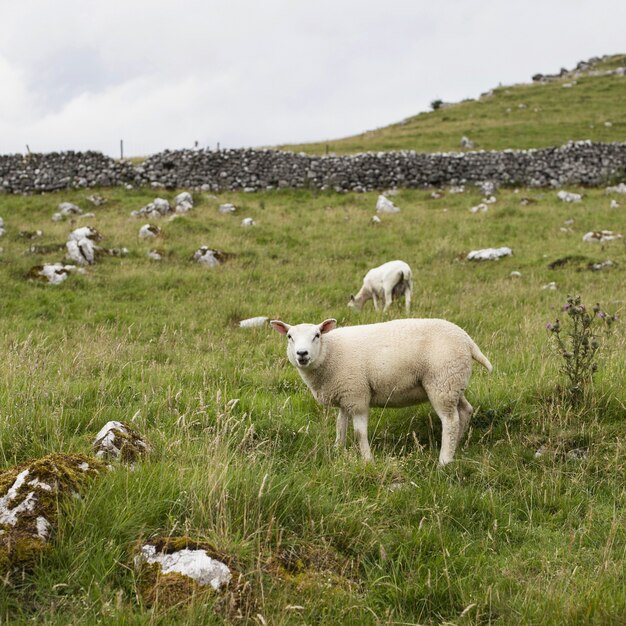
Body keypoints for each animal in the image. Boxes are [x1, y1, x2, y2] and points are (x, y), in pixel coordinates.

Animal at [270, 316, 490, 464]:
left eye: (316, 335)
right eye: (289, 337)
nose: (302, 354)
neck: (330, 352)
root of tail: (467, 340)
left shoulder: (357, 395)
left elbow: (359, 432)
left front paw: (368, 460)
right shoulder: (345, 396)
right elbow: (340, 426)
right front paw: (337, 450)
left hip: (442, 381)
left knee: (450, 421)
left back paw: (444, 461)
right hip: (453, 383)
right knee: (465, 411)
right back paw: (457, 446)